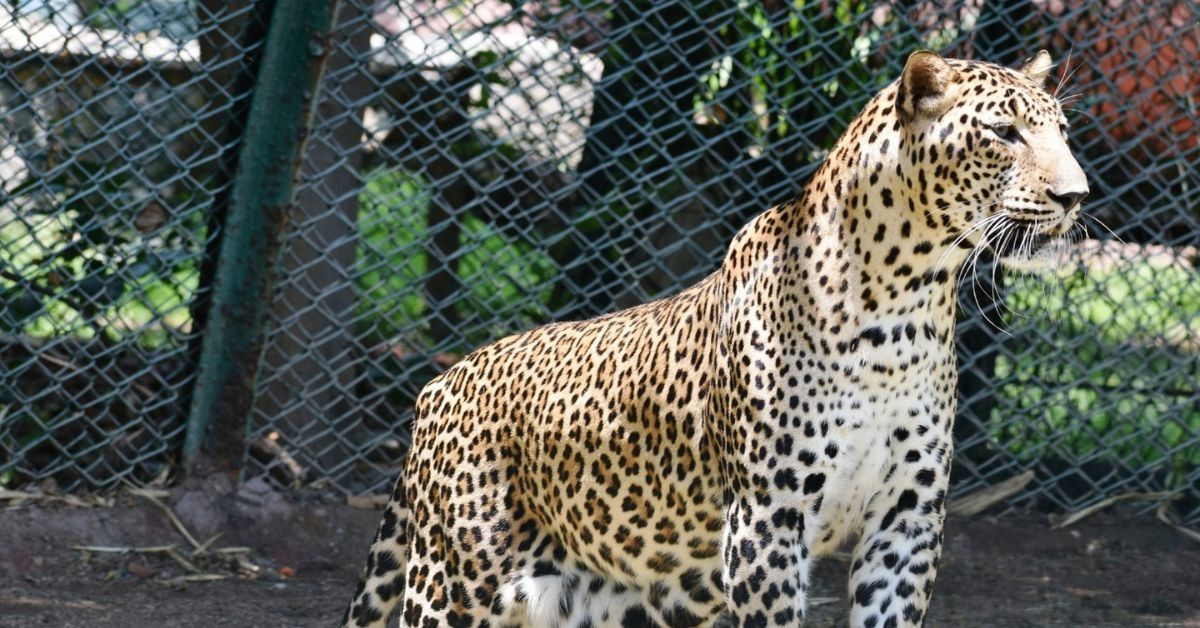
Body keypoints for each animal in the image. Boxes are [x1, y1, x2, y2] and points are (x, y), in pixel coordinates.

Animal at [343, 49, 1088, 628]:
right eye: (1004, 132)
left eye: (1062, 130)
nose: (1076, 195)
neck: (906, 304)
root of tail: (438, 384)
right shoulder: (766, 521)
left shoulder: (908, 516)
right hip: (453, 585)